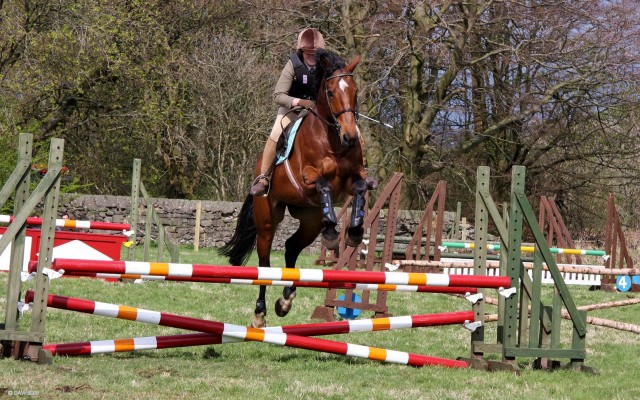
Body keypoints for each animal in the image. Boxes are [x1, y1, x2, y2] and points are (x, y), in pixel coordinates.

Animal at [218, 50, 369, 328]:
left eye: (355, 91)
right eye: (330, 92)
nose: (350, 136)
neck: (332, 140)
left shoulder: (353, 178)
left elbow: (362, 187)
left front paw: (353, 232)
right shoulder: (307, 180)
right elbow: (323, 184)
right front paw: (334, 232)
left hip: (310, 221)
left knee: (291, 246)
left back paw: (286, 299)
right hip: (267, 219)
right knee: (265, 262)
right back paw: (260, 313)